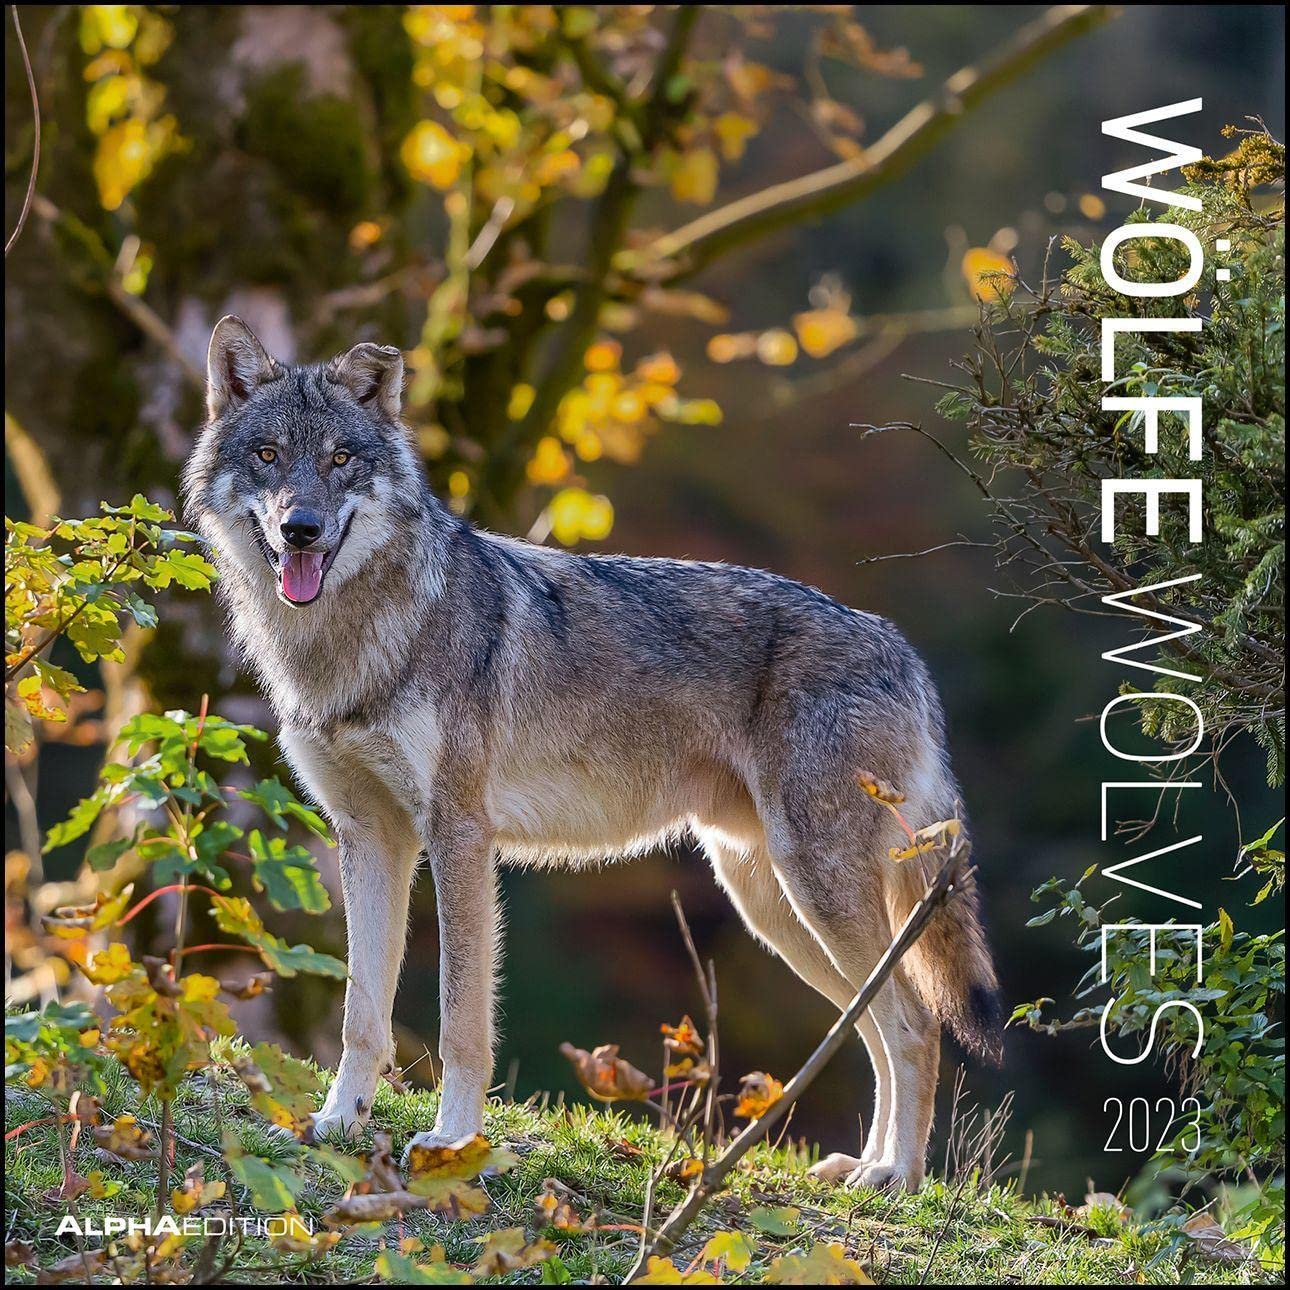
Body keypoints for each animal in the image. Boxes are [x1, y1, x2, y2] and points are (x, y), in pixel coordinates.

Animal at [183, 316, 1002, 1190]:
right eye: (269, 454)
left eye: (341, 458)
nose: (300, 527)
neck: (350, 643)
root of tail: (903, 652)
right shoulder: (371, 840)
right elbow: (360, 1015)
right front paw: (339, 1123)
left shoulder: (458, 836)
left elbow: (460, 1020)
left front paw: (452, 1144)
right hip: (770, 900)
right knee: (873, 1022)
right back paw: (865, 1168)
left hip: (811, 888)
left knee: (914, 1022)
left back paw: (897, 1179)